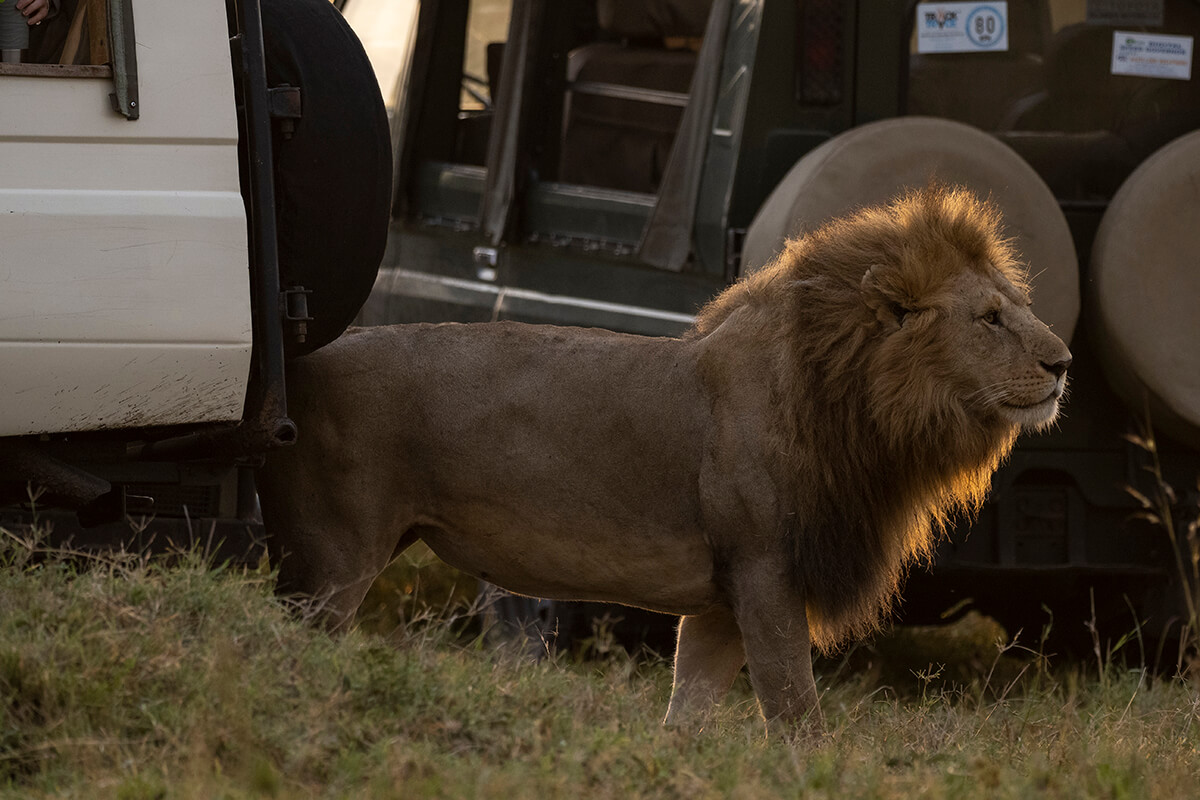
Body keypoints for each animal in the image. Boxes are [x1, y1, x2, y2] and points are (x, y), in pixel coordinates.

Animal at [256, 185, 1072, 731]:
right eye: (990, 318)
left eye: (1020, 306)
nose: (1065, 363)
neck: (860, 411)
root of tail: (303, 360)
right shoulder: (765, 574)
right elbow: (798, 713)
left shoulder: (722, 599)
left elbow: (690, 713)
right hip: (336, 554)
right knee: (291, 642)